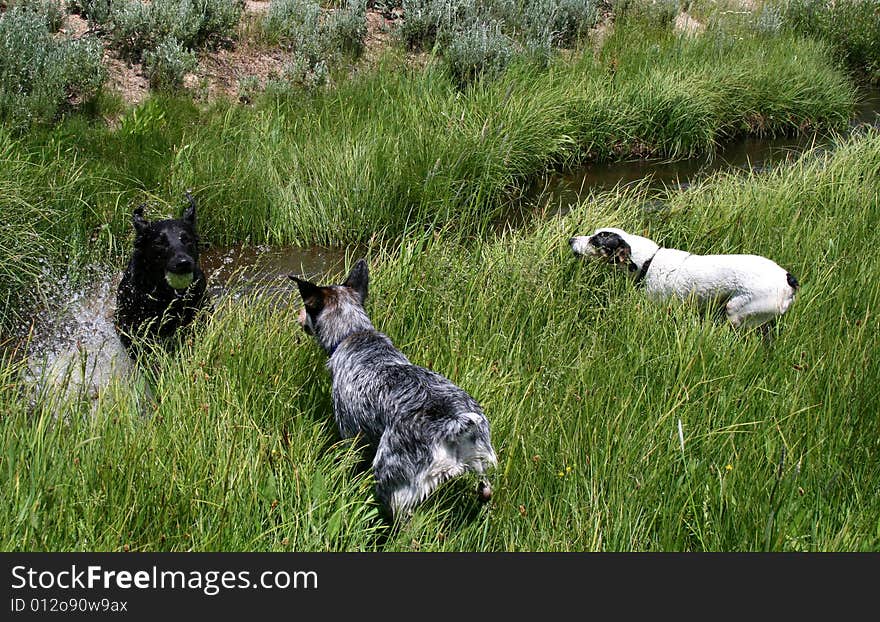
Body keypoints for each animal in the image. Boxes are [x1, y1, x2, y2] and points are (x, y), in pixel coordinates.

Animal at [288, 260, 496, 520]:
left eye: (307, 307)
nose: (298, 316)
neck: (354, 333)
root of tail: (452, 425)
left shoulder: (350, 433)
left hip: (392, 484)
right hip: (481, 468)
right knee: (485, 489)